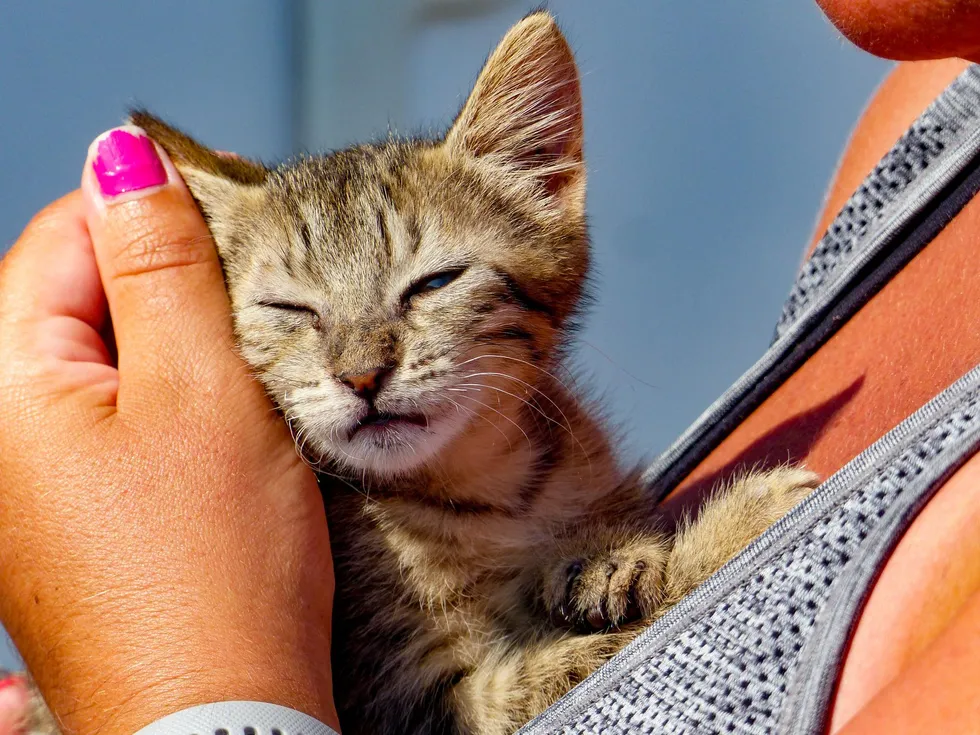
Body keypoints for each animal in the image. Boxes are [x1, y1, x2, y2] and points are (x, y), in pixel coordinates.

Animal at [24, 10, 820, 735]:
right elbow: (579, 662)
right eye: (291, 309)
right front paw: (737, 523)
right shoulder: (418, 705)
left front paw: (609, 558)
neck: (483, 490)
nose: (361, 375)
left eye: (433, 283)